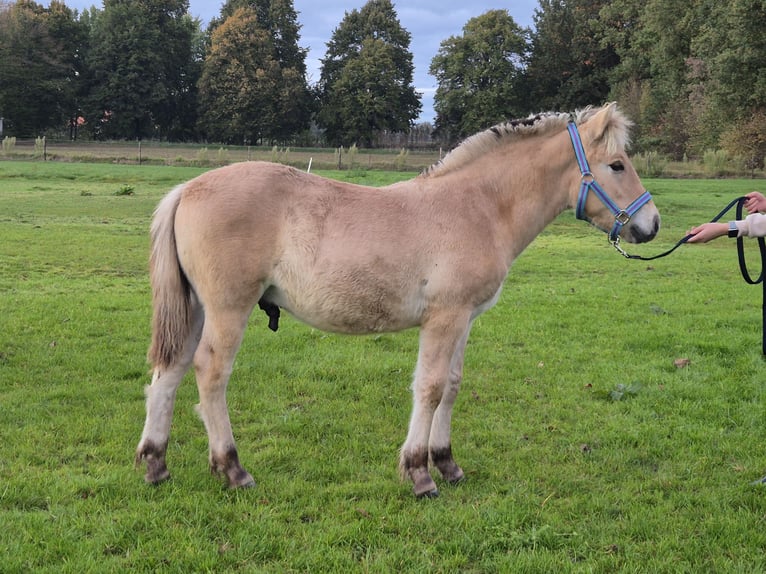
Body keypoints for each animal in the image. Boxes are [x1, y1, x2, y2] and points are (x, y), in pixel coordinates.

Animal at [136, 102, 660, 498]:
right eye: (617, 165)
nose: (651, 224)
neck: (479, 206)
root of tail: (188, 188)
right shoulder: (444, 318)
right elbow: (428, 388)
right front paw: (419, 473)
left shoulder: (465, 319)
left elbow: (452, 385)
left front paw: (447, 463)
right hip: (228, 309)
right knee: (210, 373)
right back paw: (232, 468)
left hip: (195, 309)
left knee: (169, 371)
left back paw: (156, 464)